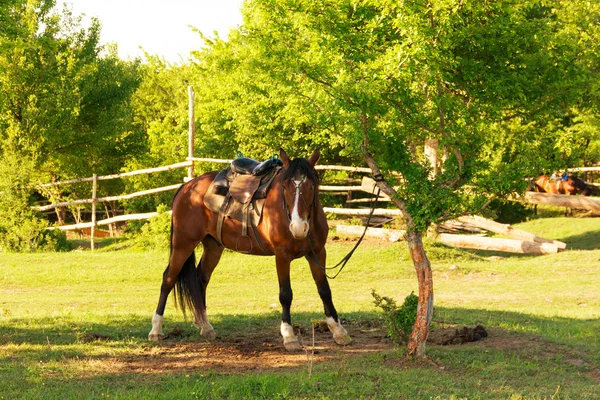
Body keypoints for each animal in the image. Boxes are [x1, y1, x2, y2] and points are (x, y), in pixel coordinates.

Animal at [148, 148, 352, 352]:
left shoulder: (317, 253)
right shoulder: (282, 256)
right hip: (183, 244)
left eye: (311, 187)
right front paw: (289, 336)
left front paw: (339, 332)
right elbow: (286, 294)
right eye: (285, 187)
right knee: (168, 279)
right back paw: (156, 330)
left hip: (213, 246)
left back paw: (205, 326)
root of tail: (187, 187)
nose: (298, 227)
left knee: (201, 278)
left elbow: (324, 289)